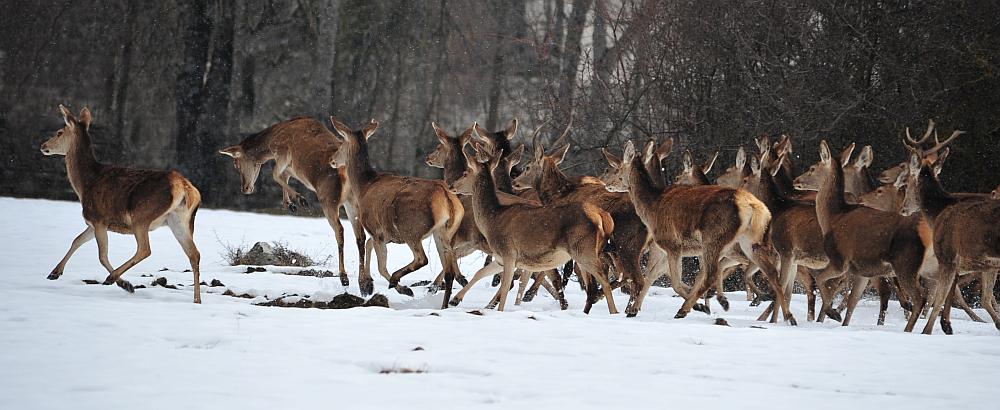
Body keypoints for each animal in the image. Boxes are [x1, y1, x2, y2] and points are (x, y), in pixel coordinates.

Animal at [42, 105, 203, 304]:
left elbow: (102, 255)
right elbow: (77, 240)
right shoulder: (92, 223)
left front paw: (125, 284)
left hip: (141, 215)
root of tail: (186, 188)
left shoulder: (99, 218)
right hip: (179, 221)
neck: (85, 184)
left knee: (145, 249)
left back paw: (112, 278)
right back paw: (197, 300)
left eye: (59, 132)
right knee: (194, 254)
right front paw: (54, 273)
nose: (43, 146)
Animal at [328, 117, 468, 306]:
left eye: (341, 142)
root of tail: (448, 200)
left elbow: (380, 265)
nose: (332, 159)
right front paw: (367, 285)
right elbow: (369, 245)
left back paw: (398, 280)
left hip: (412, 228)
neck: (364, 186)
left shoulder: (375, 227)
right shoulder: (387, 233)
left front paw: (398, 288)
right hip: (443, 233)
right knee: (449, 271)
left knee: (422, 258)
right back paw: (445, 304)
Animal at [448, 128, 616, 314]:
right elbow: (480, 272)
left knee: (603, 280)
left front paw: (497, 310)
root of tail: (604, 217)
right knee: (593, 285)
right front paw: (455, 300)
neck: (491, 219)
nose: (451, 185)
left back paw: (614, 312)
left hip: (584, 250)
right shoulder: (500, 258)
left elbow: (505, 287)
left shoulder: (508, 253)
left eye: (465, 173)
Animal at [596, 141, 792, 324]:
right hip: (746, 243)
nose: (607, 185)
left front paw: (697, 306)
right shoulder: (666, 248)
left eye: (617, 167)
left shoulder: (672, 243)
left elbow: (674, 282)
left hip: (714, 238)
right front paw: (633, 310)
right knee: (771, 272)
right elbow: (651, 275)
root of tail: (754, 207)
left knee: (713, 274)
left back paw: (688, 309)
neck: (651, 209)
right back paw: (784, 314)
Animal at [796, 140, 928, 330]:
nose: (796, 180)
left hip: (905, 264)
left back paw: (909, 329)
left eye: (812, 168)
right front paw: (841, 321)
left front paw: (833, 313)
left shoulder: (839, 260)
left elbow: (822, 282)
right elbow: (853, 301)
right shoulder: (861, 271)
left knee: (921, 297)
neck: (833, 217)